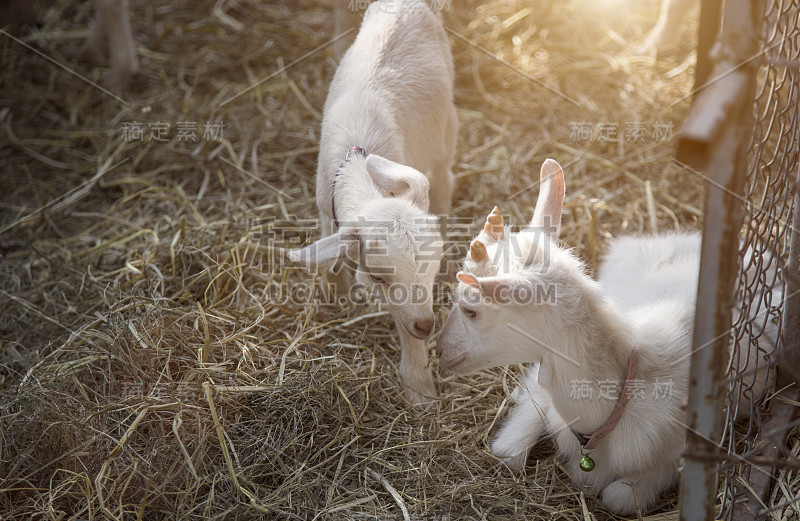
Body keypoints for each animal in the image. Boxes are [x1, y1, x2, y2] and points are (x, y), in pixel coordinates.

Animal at [290, 0, 460, 404]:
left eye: (432, 266)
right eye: (381, 276)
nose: (427, 325)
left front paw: (419, 387)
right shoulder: (325, 207)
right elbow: (328, 262)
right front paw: (330, 299)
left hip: (447, 129)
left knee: (445, 177)